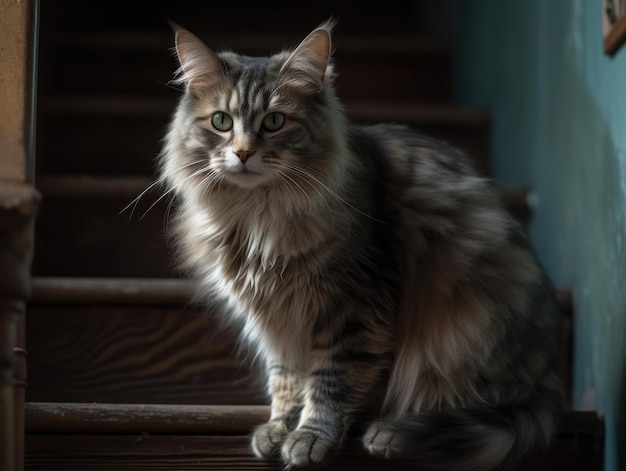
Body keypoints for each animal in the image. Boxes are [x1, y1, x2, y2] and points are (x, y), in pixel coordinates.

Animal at [158, 20, 564, 470]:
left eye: (275, 121)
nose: (243, 153)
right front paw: (280, 426)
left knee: (474, 405)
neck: (257, 218)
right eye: (221, 121)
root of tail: (549, 380)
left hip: (469, 325)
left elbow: (331, 381)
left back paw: (391, 432)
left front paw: (310, 437)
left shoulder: (356, 307)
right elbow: (286, 377)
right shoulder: (275, 319)